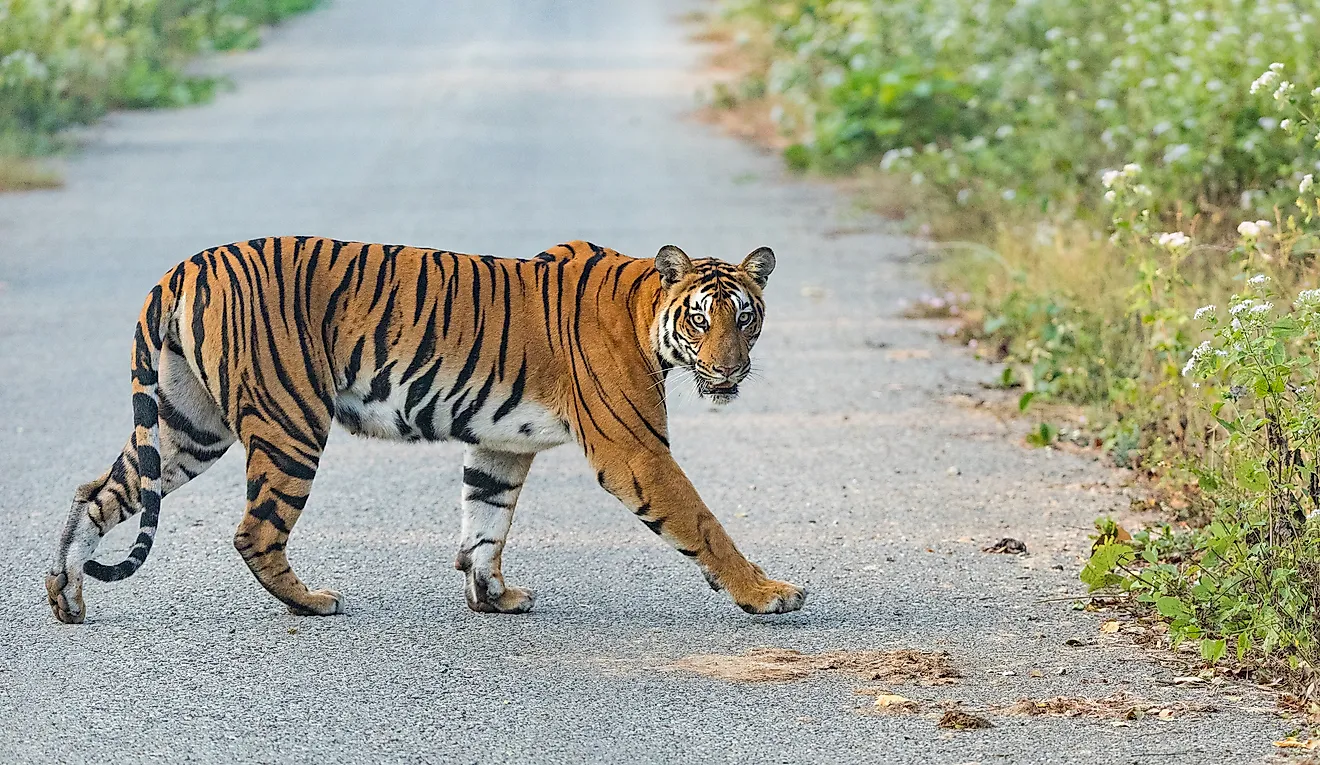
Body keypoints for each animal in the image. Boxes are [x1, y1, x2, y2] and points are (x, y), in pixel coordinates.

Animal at [46, 237, 807, 622]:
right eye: (701, 319)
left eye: (746, 317)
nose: (729, 371)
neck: (647, 311)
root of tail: (186, 265)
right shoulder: (635, 450)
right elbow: (703, 522)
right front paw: (768, 593)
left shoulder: (500, 442)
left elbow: (485, 521)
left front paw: (494, 597)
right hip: (290, 421)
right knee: (254, 529)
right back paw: (313, 602)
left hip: (189, 425)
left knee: (96, 492)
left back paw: (65, 595)